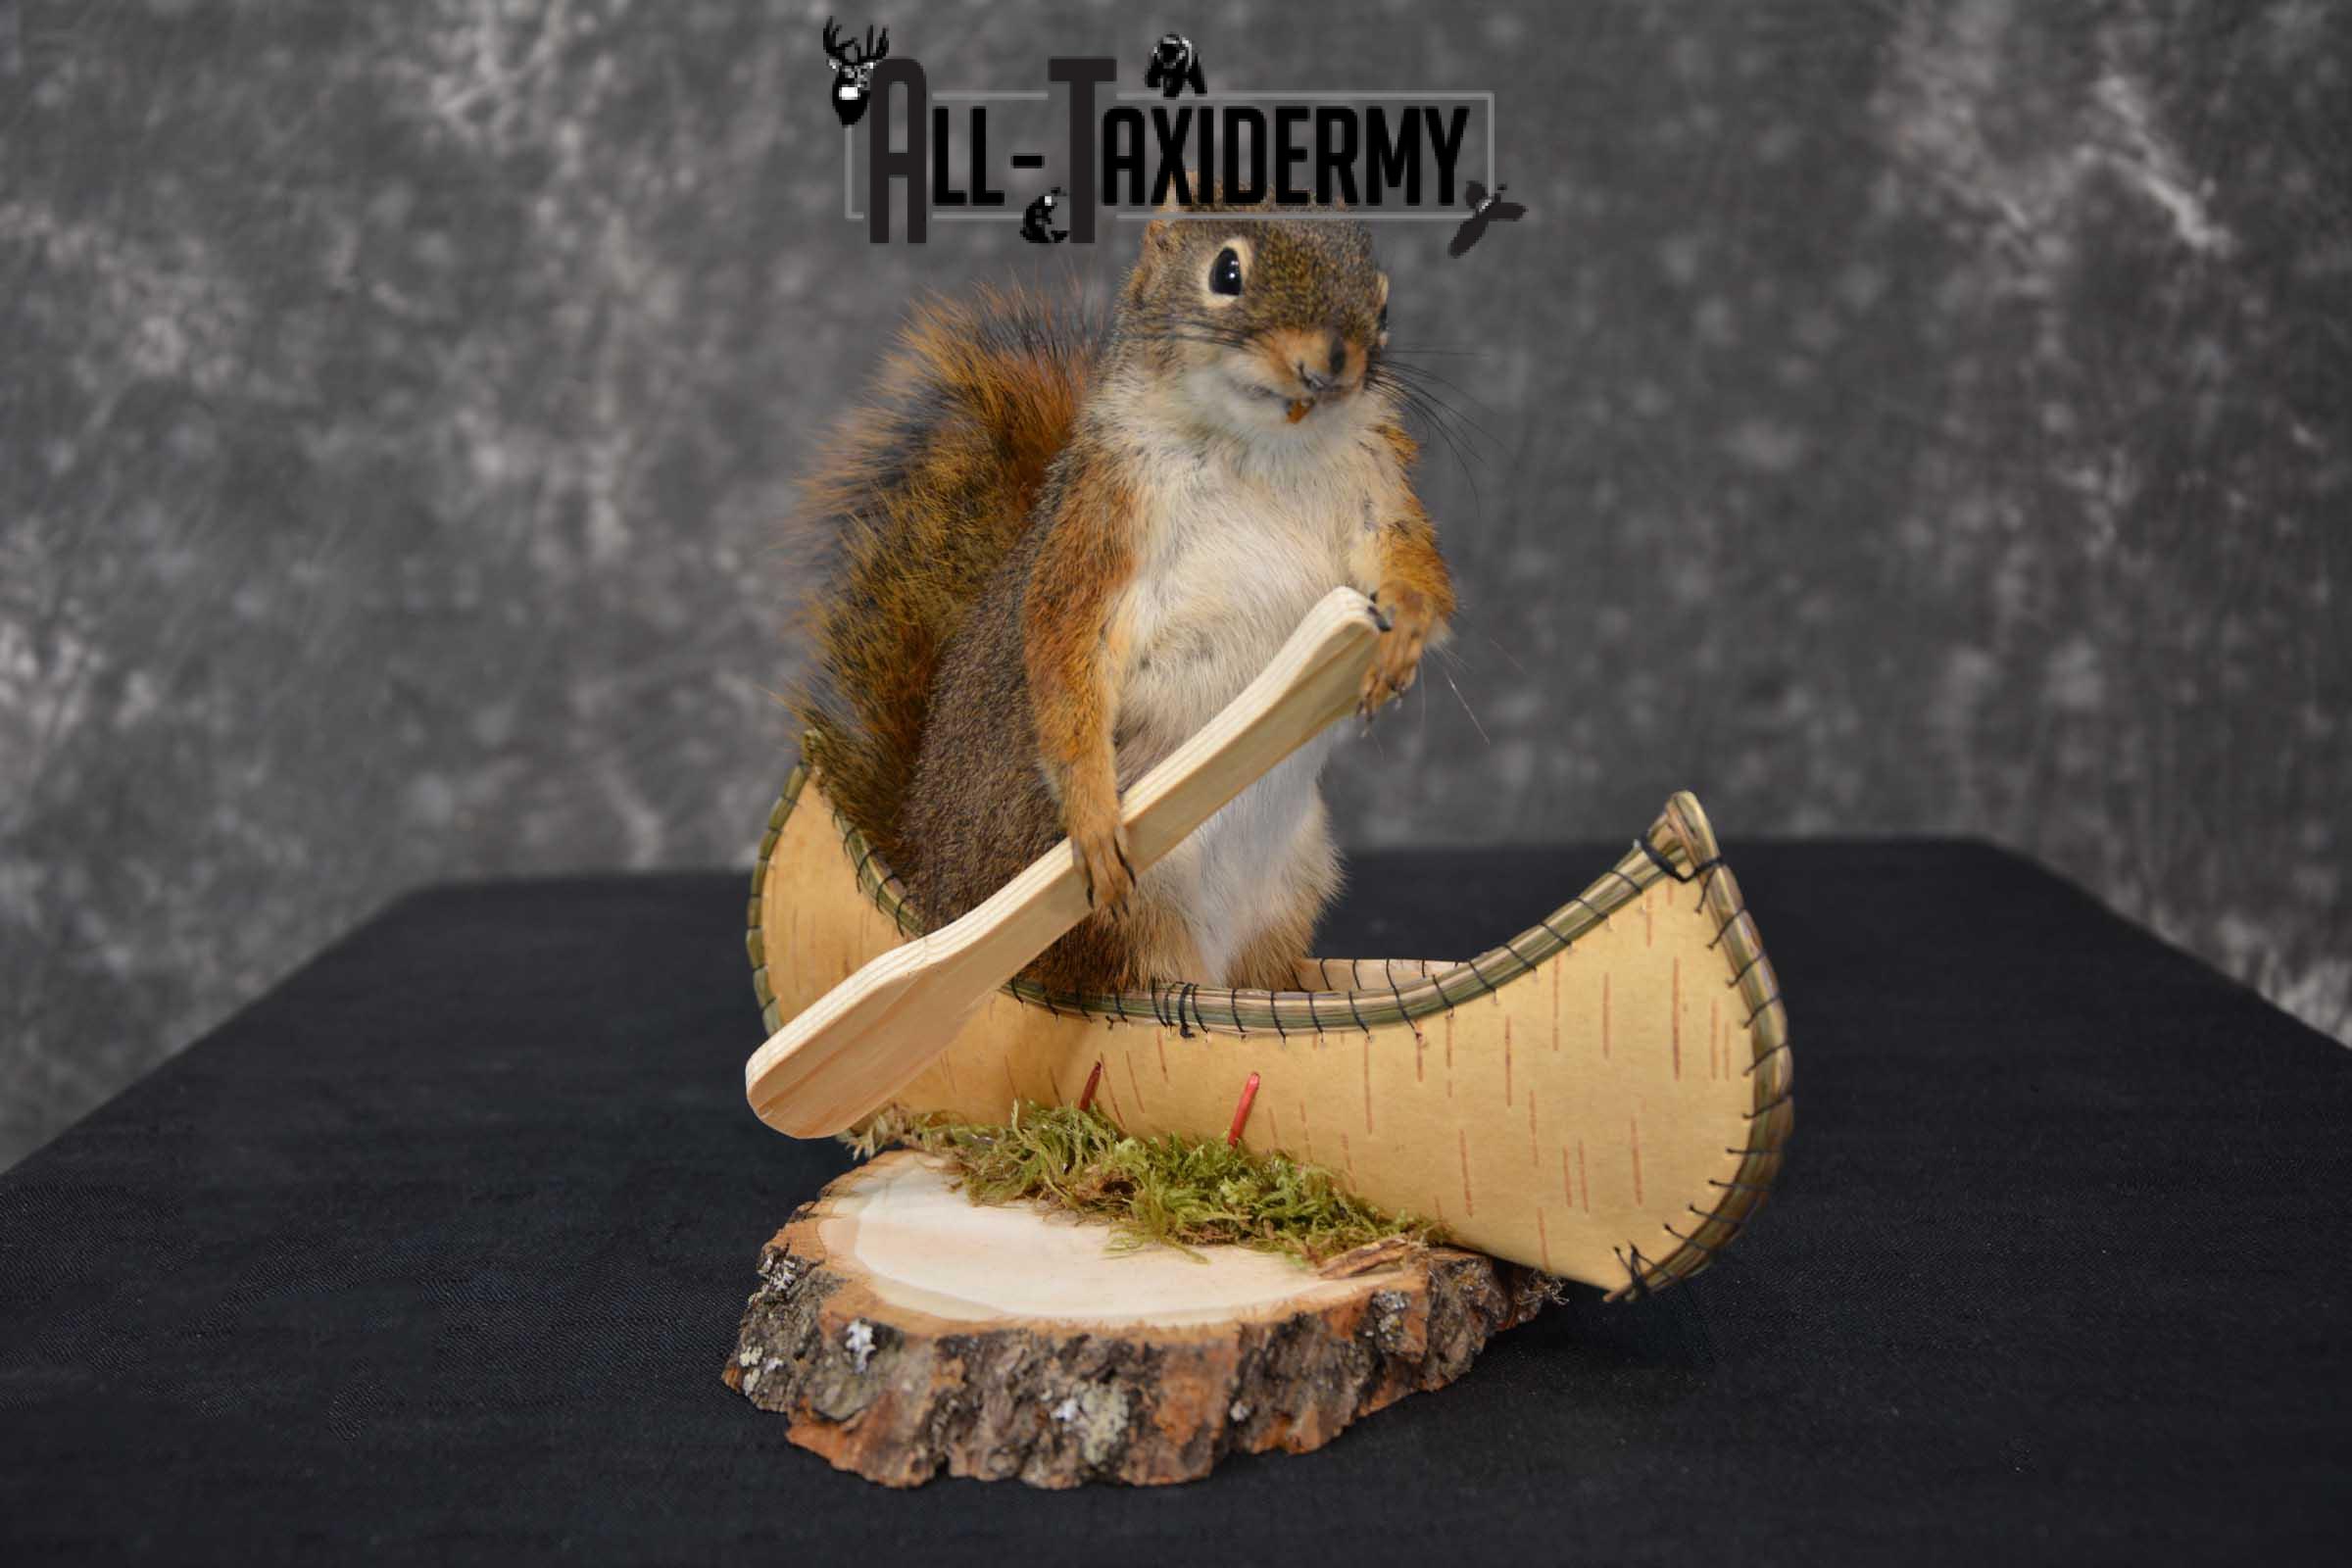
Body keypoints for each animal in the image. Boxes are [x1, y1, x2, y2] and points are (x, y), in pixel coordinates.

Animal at [792, 196, 1454, 996]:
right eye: (1226, 272)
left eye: (1383, 303)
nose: (1333, 361)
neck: (1260, 446)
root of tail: (938, 890)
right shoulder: (1101, 523)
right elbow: (1063, 649)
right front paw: (1094, 816)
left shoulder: (1375, 487)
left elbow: (1411, 561)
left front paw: (1405, 631)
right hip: (1121, 922)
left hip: (1292, 885)